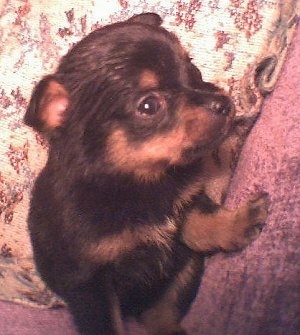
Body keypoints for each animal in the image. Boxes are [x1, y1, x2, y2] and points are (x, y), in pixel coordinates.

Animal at [25, 12, 268, 335]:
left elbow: (204, 220)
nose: (225, 104)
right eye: (149, 106)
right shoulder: (91, 286)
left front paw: (240, 221)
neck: (141, 181)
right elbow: (110, 324)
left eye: (192, 67)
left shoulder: (183, 210)